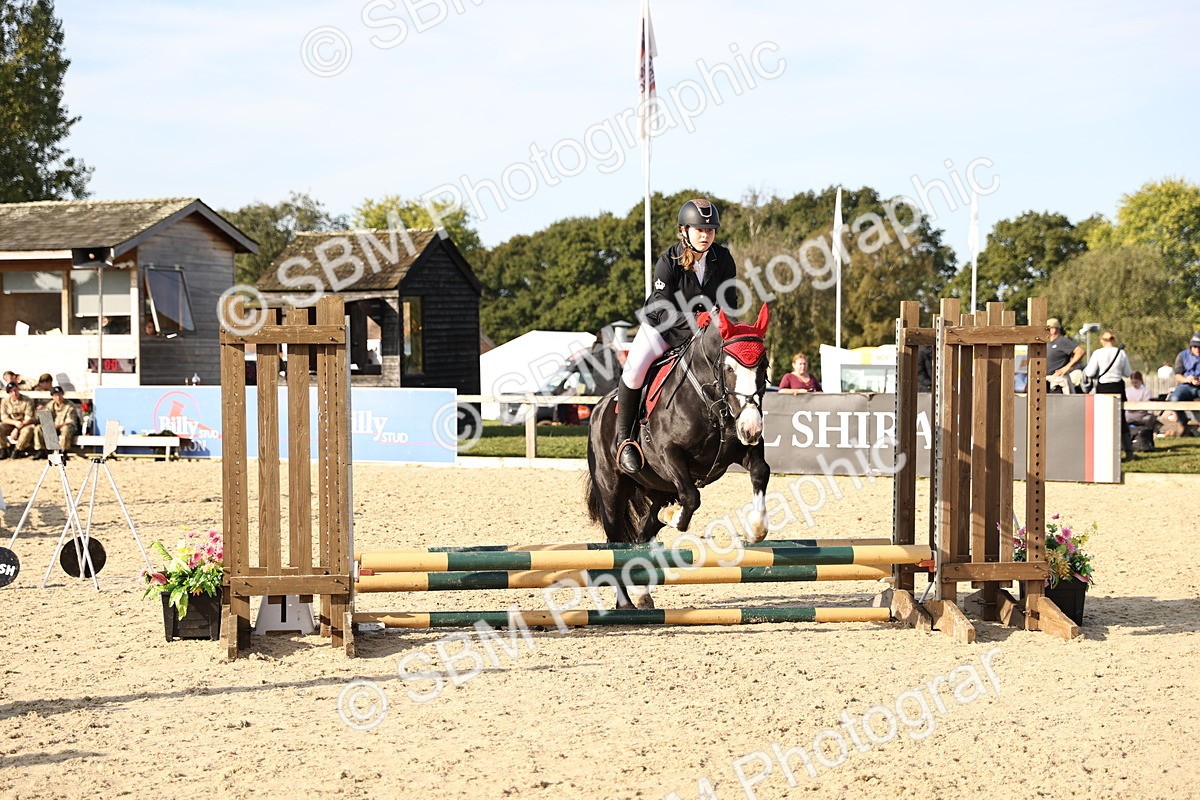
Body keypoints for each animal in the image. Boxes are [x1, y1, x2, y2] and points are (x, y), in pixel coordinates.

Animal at [585, 304, 771, 609]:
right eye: (729, 368)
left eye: (764, 366)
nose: (752, 428)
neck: (709, 399)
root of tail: (598, 409)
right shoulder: (667, 452)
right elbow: (692, 498)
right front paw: (672, 516)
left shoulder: (743, 449)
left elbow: (760, 471)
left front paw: (756, 529)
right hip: (612, 488)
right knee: (615, 542)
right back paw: (625, 603)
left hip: (660, 486)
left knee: (642, 532)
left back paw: (642, 593)